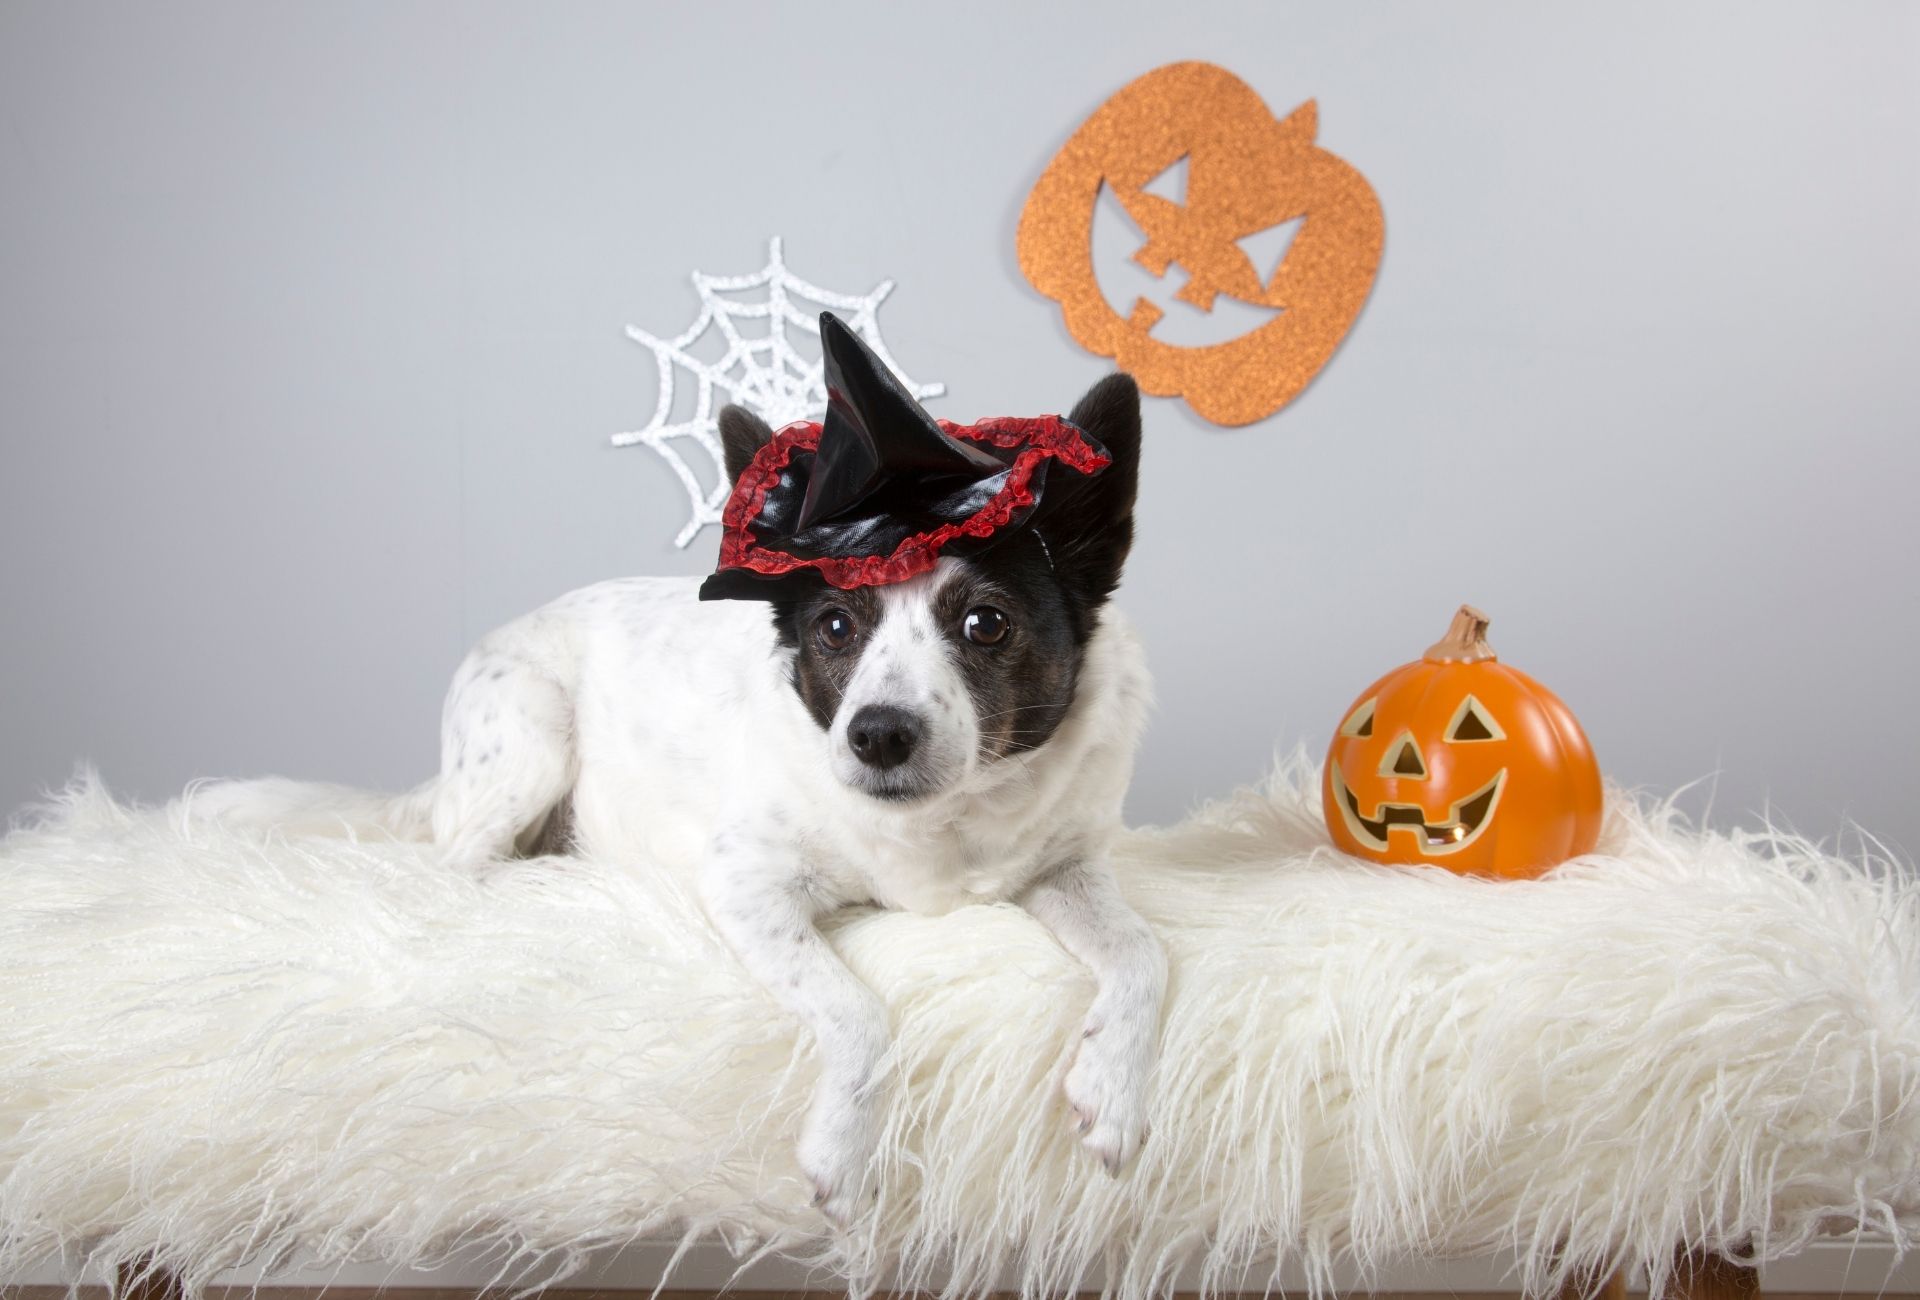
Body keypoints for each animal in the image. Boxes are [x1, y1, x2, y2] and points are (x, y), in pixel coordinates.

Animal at [194, 370, 1159, 1221]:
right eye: (834, 627)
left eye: (985, 623)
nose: (877, 735)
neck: (941, 824)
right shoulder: (745, 885)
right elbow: (857, 1012)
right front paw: (845, 1152)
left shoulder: (1064, 864)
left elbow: (1142, 951)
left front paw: (1114, 1091)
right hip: (532, 733)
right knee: (456, 866)